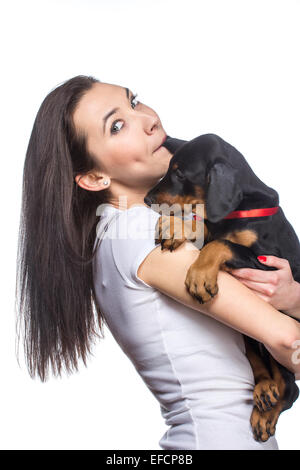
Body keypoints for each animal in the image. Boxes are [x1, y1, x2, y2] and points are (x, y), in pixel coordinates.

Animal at [144, 134, 298, 442]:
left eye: (180, 173)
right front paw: (175, 227)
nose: (146, 199)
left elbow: (222, 243)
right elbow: (207, 228)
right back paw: (264, 389)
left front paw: (200, 275)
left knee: (290, 386)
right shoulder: (215, 225)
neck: (240, 209)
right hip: (249, 338)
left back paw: (266, 415)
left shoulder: (270, 266)